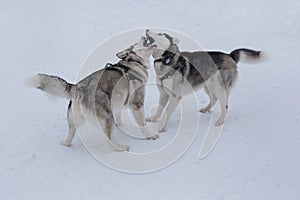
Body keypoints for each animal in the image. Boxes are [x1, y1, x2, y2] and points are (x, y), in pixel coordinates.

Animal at [29, 36, 158, 151]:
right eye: (135, 43)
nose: (144, 36)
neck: (134, 62)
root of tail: (78, 87)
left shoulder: (118, 104)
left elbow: (118, 116)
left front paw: (120, 126)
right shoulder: (137, 105)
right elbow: (143, 125)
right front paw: (151, 135)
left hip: (75, 121)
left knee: (70, 134)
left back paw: (66, 144)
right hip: (107, 118)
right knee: (109, 141)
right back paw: (121, 148)